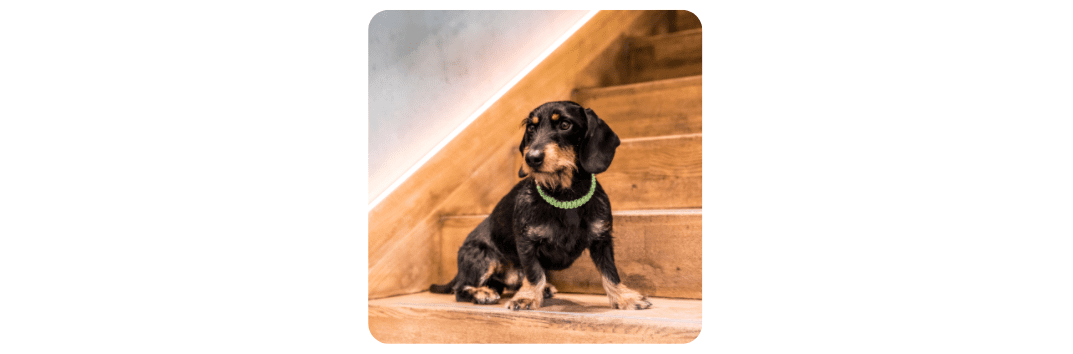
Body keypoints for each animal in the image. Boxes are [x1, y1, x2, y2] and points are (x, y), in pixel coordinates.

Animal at [429, 100, 652, 308]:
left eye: (564, 124)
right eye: (531, 128)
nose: (531, 158)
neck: (565, 197)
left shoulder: (602, 239)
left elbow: (610, 272)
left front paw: (626, 298)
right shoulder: (526, 242)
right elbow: (534, 272)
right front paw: (527, 298)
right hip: (483, 256)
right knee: (460, 290)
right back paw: (482, 293)